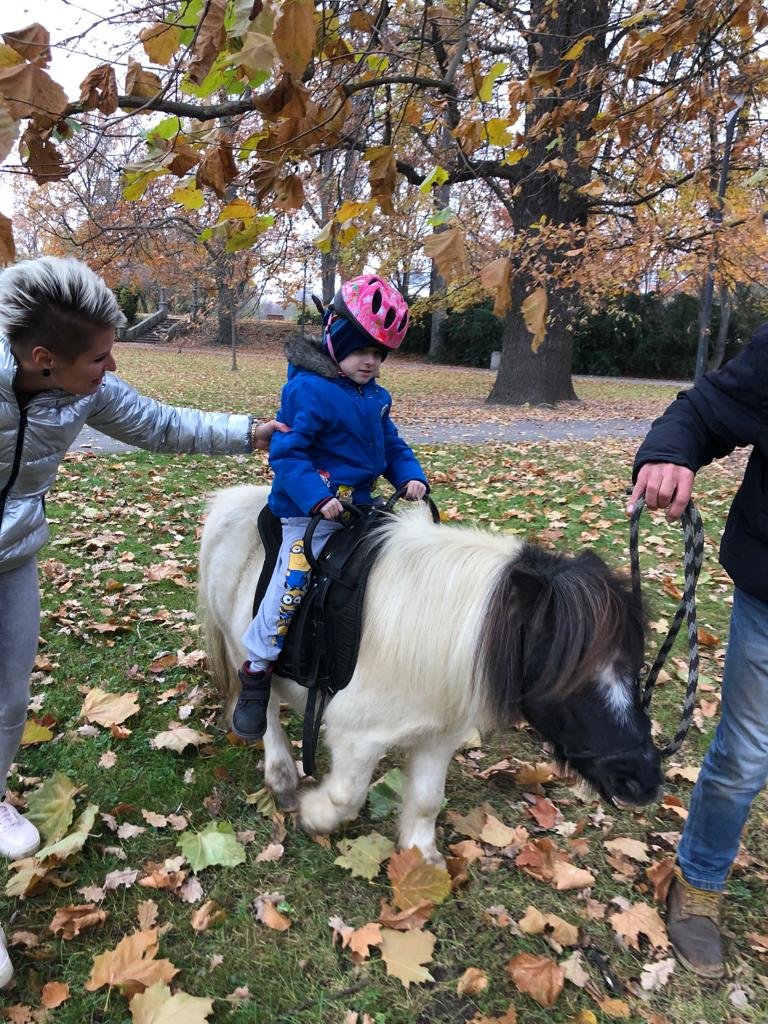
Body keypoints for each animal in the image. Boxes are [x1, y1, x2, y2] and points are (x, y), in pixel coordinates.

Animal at [199, 485, 663, 863]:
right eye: (569, 678)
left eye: (636, 666)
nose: (644, 780)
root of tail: (230, 501)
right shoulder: (355, 736)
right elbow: (347, 795)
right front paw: (314, 815)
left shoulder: (439, 735)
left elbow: (426, 799)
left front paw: (421, 857)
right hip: (243, 642)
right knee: (261, 700)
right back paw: (280, 774)